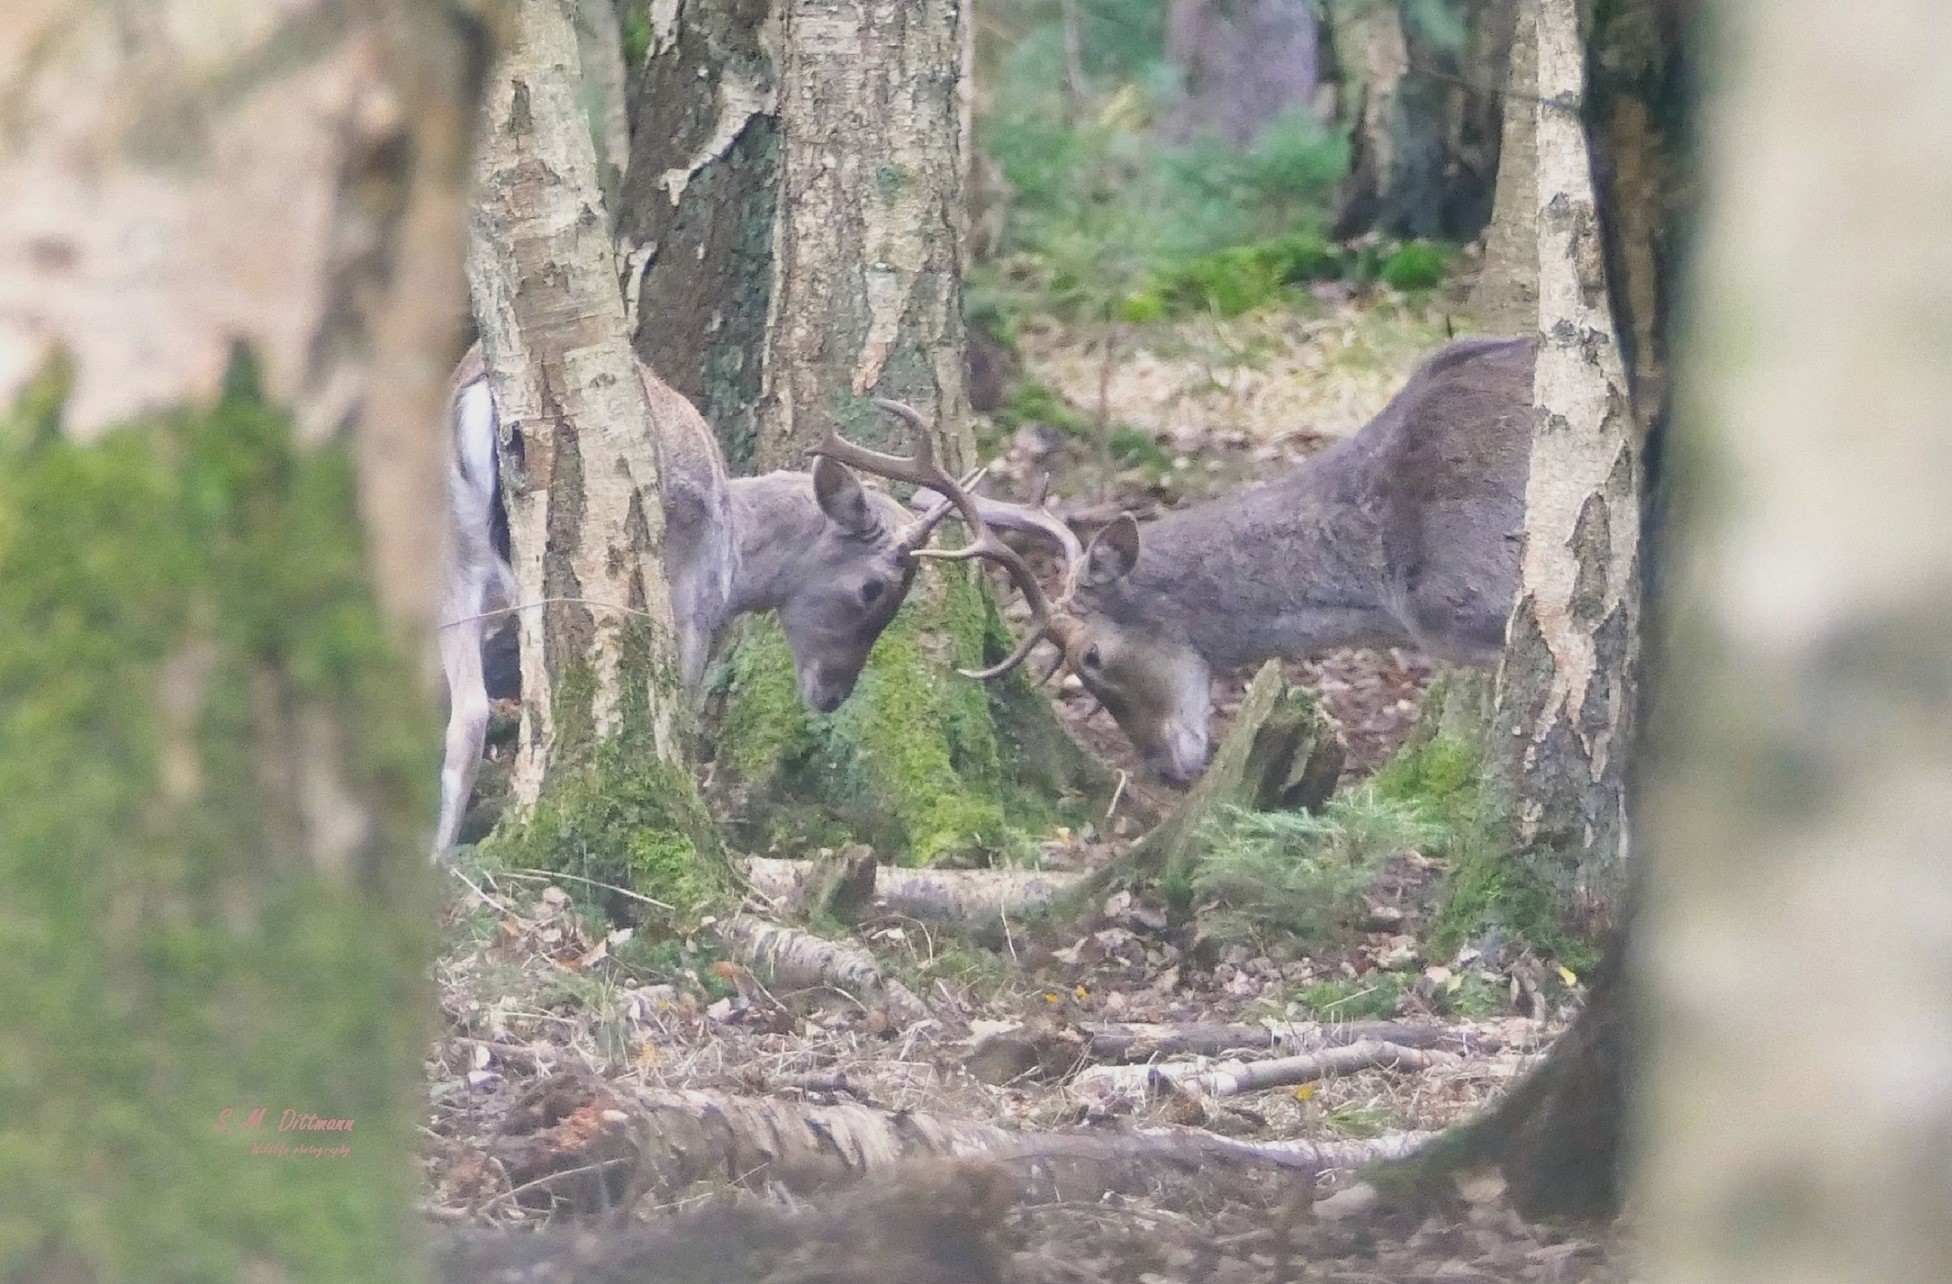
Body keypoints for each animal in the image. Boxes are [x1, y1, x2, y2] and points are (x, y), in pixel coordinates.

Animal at [435, 345, 968, 854]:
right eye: (872, 588)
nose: (834, 695)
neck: (734, 550)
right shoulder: (695, 609)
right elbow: (681, 721)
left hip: (452, 549)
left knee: (467, 710)